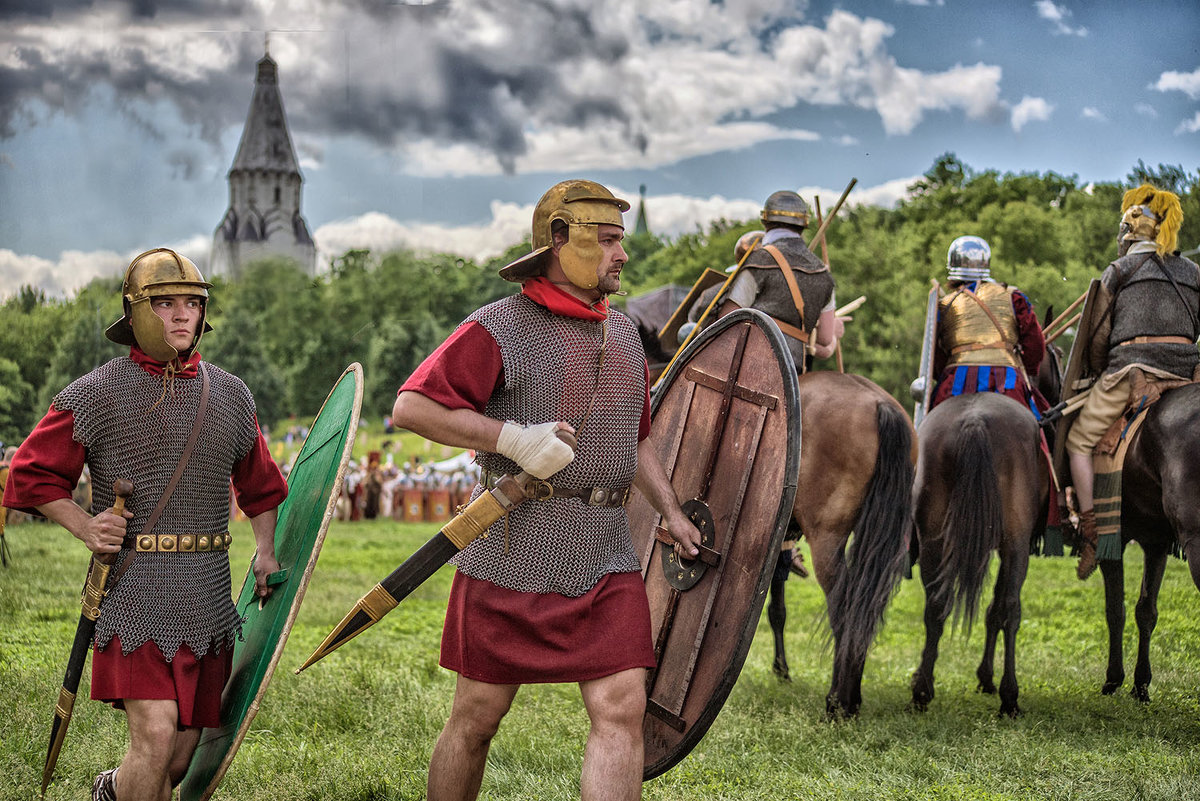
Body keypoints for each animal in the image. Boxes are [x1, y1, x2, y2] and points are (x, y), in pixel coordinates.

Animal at [763, 371, 912, 714]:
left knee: (844, 607)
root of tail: (880, 404)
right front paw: (782, 669)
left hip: (827, 539)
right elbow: (778, 608)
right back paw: (852, 697)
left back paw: (837, 702)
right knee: (862, 608)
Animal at [907, 390, 1051, 714]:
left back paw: (922, 690)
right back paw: (1010, 697)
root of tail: (975, 420)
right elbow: (997, 609)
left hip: (933, 540)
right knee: (1011, 607)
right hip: (1016, 544)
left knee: (935, 605)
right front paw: (987, 678)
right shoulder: (1011, 546)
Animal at [1099, 381, 1200, 700]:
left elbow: (1115, 610)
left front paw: (1113, 679)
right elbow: (1145, 611)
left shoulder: (1113, 540)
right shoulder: (1155, 543)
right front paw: (1140, 685)